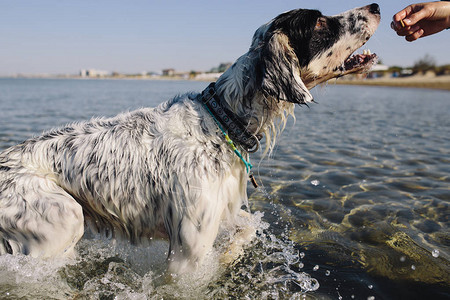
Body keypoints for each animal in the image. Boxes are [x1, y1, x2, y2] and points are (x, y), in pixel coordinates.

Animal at [0, 3, 380, 274]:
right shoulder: (188, 250)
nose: (376, 6)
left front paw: (229, 256)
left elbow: (247, 227)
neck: (220, 120)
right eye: (319, 23)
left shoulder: (221, 212)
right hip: (64, 219)